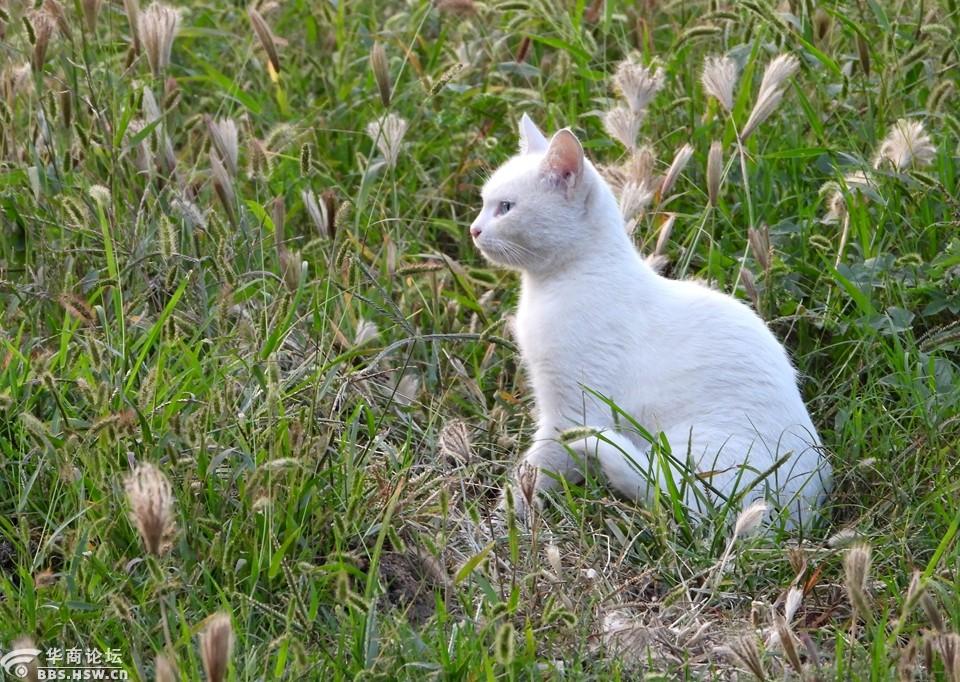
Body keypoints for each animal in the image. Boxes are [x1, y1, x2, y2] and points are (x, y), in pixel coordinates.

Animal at [472, 114, 832, 528]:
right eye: (483, 203)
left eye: (505, 207)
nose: (474, 229)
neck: (556, 283)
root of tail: (804, 514)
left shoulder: (571, 410)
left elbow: (535, 469)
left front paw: (501, 521)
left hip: (695, 451)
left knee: (670, 498)